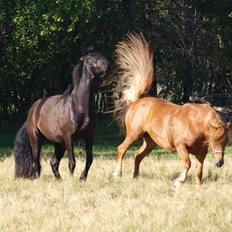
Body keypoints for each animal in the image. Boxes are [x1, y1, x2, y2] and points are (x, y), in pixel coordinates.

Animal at [14, 51, 109, 180]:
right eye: (90, 58)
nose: (107, 65)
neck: (78, 106)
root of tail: (32, 111)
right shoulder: (69, 138)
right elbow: (72, 162)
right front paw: (72, 180)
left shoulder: (89, 136)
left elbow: (89, 159)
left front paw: (82, 178)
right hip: (36, 140)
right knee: (36, 162)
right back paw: (39, 179)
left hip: (59, 144)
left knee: (53, 162)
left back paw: (59, 180)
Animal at [112, 33, 228, 187]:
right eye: (215, 140)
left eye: (226, 141)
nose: (219, 163)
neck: (195, 124)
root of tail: (137, 101)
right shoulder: (181, 146)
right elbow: (187, 163)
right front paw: (179, 181)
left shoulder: (201, 153)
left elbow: (199, 170)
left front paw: (199, 186)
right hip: (133, 135)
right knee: (121, 149)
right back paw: (117, 174)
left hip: (150, 142)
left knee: (137, 156)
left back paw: (135, 177)